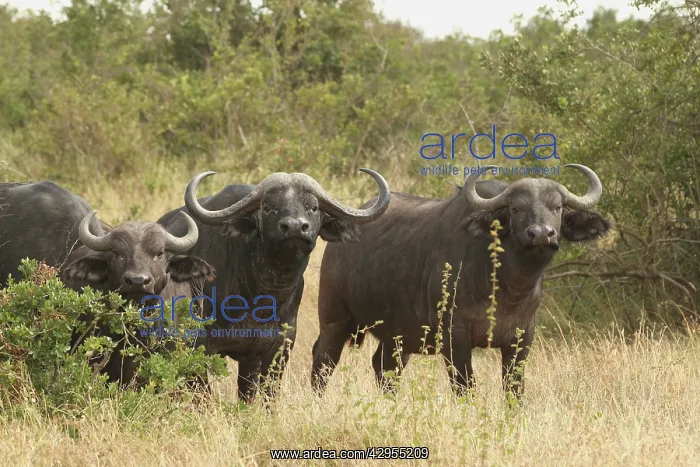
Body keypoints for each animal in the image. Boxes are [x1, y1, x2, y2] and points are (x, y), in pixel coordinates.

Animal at [157, 168, 391, 402]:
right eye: (268, 207)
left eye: (313, 207)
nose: (295, 227)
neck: (260, 296)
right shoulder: (197, 346)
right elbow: (201, 394)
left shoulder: (276, 349)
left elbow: (264, 393)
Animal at [311, 164, 611, 399]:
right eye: (516, 209)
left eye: (557, 207)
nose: (541, 234)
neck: (506, 288)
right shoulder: (454, 339)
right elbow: (465, 388)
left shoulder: (522, 339)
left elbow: (513, 392)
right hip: (334, 319)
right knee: (323, 360)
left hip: (398, 335)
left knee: (384, 367)